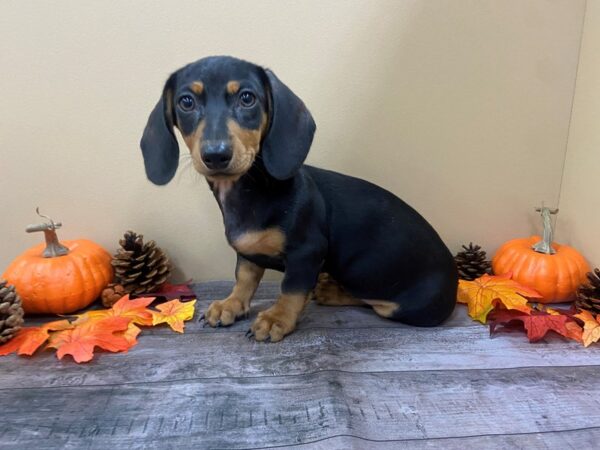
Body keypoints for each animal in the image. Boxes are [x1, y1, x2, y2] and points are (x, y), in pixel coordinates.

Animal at [142, 55, 460, 342]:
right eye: (186, 102)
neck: (250, 191)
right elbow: (244, 278)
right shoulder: (247, 253)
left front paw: (276, 319)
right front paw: (231, 305)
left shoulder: (307, 252)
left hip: (404, 305)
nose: (216, 155)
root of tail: (455, 278)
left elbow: (291, 290)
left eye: (247, 98)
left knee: (376, 302)